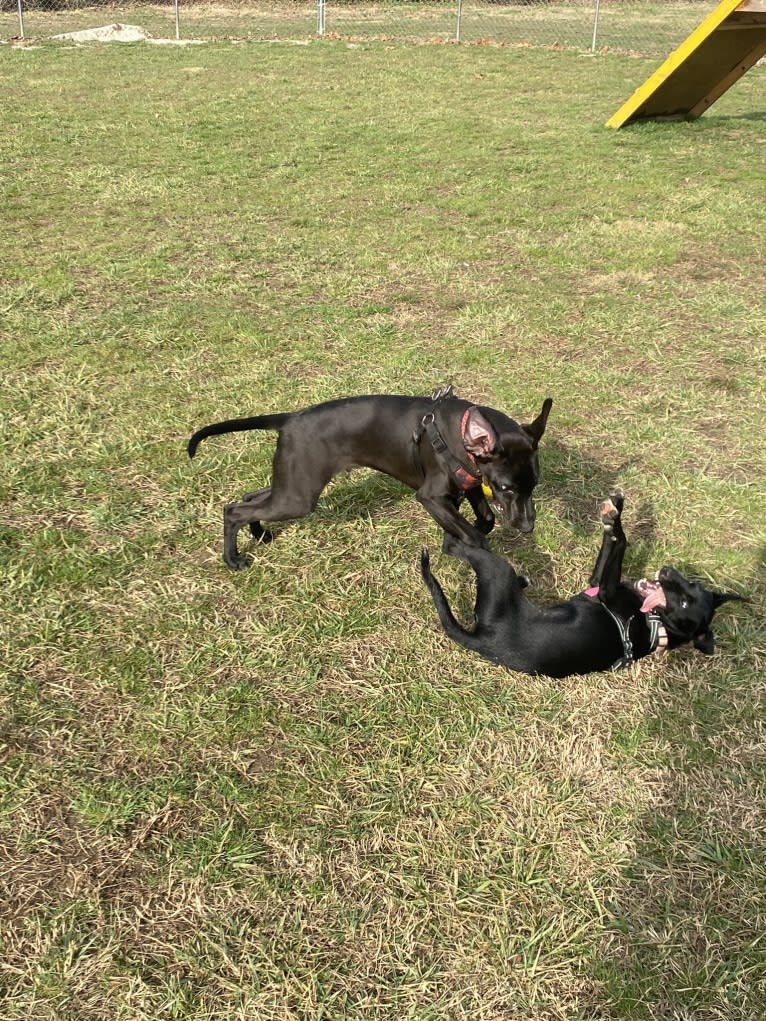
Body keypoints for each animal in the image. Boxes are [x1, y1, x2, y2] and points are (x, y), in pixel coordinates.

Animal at [188, 385, 555, 571]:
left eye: (534, 484)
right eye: (506, 487)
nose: (527, 527)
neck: (458, 433)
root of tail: (290, 419)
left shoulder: (470, 484)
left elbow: (485, 519)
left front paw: (462, 532)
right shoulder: (431, 496)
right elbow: (476, 535)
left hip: (292, 483)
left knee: (249, 498)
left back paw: (260, 534)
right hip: (298, 495)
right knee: (233, 510)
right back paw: (232, 559)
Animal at [420, 488, 743, 677]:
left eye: (685, 603)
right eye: (692, 586)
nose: (667, 571)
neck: (656, 625)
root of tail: (482, 639)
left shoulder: (607, 591)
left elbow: (620, 540)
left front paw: (615, 522)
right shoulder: (597, 583)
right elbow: (610, 546)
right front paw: (616, 508)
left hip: (498, 571)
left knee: (457, 546)